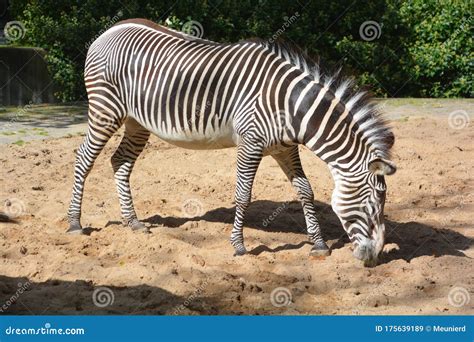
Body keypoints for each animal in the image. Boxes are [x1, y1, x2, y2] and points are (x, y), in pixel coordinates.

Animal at [67, 18, 396, 268]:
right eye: (373, 205)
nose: (374, 259)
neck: (289, 106)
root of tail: (111, 29)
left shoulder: (284, 148)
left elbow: (305, 191)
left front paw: (318, 243)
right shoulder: (250, 143)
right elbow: (243, 195)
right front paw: (238, 246)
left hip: (137, 122)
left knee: (120, 162)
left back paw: (132, 222)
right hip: (106, 109)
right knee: (83, 158)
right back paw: (75, 223)